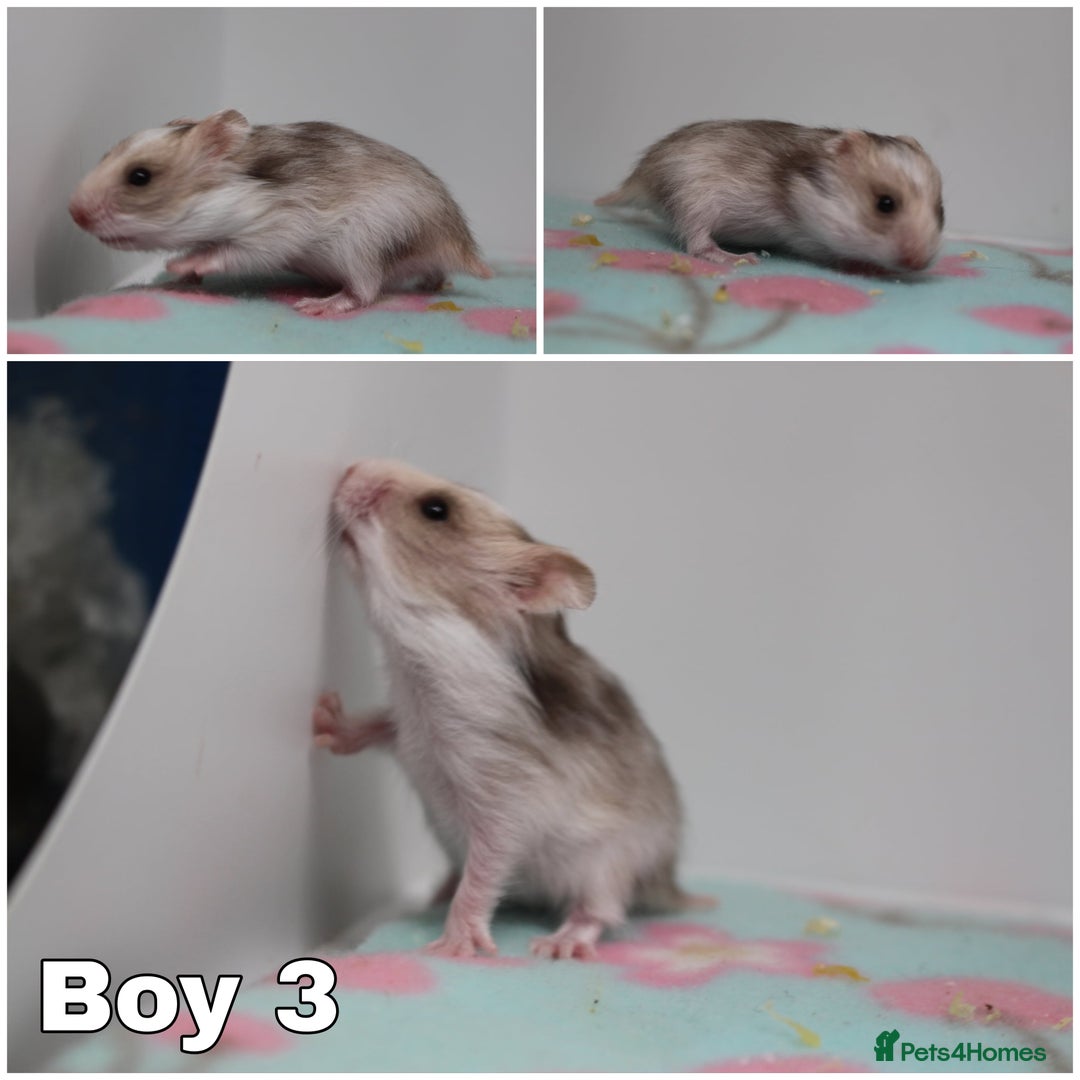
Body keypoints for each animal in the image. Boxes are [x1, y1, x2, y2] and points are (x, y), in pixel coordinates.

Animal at [68, 110, 493, 316]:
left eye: (140, 177)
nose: (74, 213)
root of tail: (461, 244)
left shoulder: (275, 230)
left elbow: (225, 252)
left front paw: (179, 265)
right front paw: (179, 279)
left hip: (365, 243)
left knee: (365, 291)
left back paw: (318, 305)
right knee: (432, 275)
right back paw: (430, 287)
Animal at [314, 459, 707, 960]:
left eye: (436, 509)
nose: (353, 465)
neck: (420, 669)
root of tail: (667, 883)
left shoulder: (504, 800)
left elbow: (485, 869)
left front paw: (454, 945)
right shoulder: (408, 723)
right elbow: (378, 723)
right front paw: (323, 717)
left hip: (610, 864)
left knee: (598, 911)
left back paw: (561, 944)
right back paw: (440, 889)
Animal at [597, 119, 944, 273]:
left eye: (941, 210)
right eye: (885, 204)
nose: (919, 265)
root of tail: (640, 176)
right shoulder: (807, 239)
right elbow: (837, 255)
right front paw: (867, 267)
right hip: (694, 200)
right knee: (697, 243)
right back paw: (735, 257)